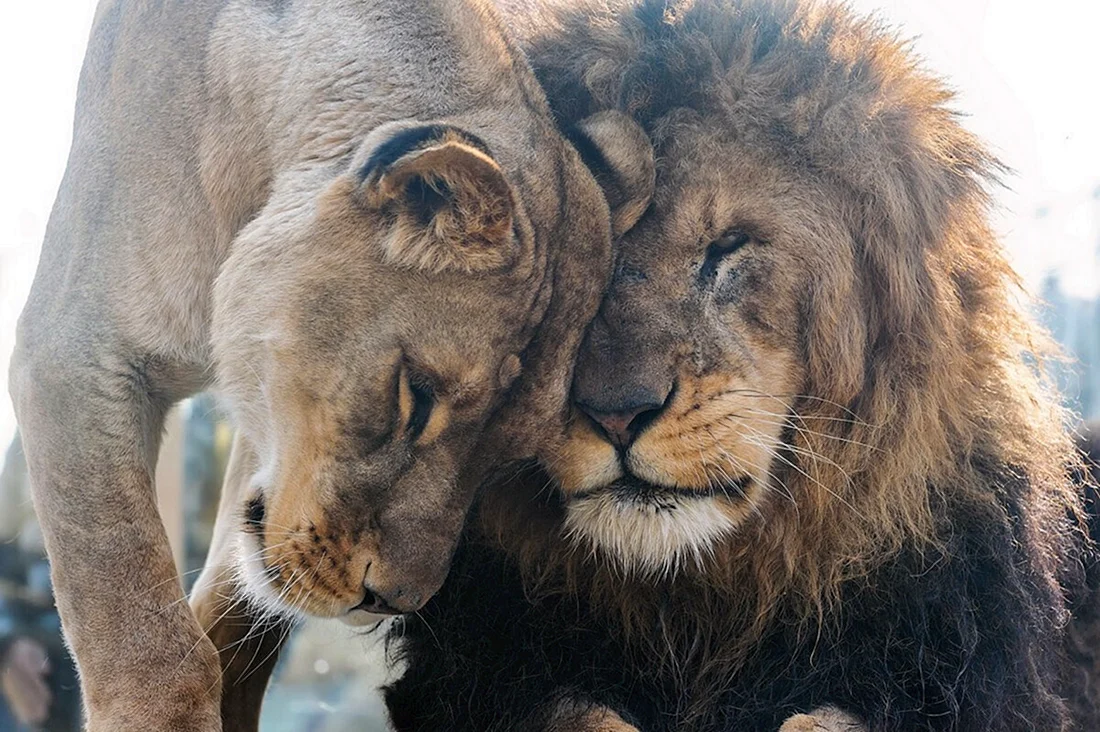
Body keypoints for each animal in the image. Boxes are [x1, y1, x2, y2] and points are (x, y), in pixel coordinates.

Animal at [6, 0, 654, 729]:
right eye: (416, 398)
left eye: (507, 460)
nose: (392, 601)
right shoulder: (75, 352)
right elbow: (135, 611)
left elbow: (236, 609)